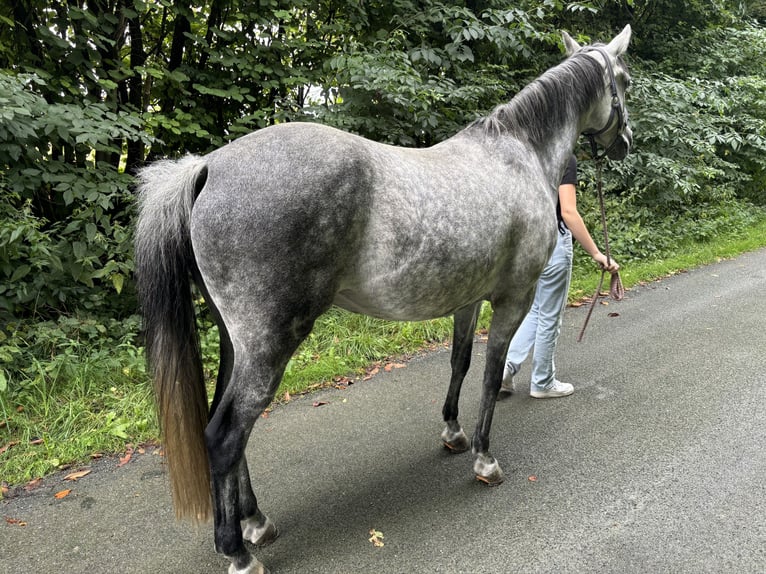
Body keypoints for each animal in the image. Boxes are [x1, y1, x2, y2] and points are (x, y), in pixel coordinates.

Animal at [134, 24, 636, 572]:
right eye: (625, 80)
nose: (625, 143)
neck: (519, 153)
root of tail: (206, 168)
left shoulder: (468, 299)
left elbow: (460, 362)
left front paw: (453, 433)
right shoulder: (513, 298)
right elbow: (489, 373)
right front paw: (484, 458)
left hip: (236, 341)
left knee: (229, 427)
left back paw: (255, 521)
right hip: (269, 344)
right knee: (225, 435)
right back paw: (238, 550)